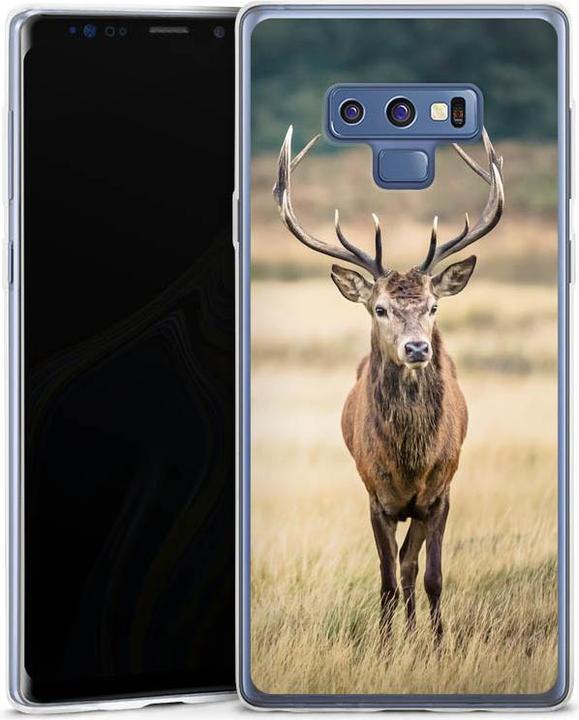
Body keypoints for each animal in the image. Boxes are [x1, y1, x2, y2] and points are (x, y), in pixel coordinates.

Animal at [273, 125, 504, 641]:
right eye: (380, 309)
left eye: (434, 306)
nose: (417, 348)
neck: (409, 463)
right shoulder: (374, 497)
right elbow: (385, 580)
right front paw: (383, 644)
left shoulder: (440, 493)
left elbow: (431, 575)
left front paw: (437, 643)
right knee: (399, 567)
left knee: (411, 565)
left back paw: (416, 631)